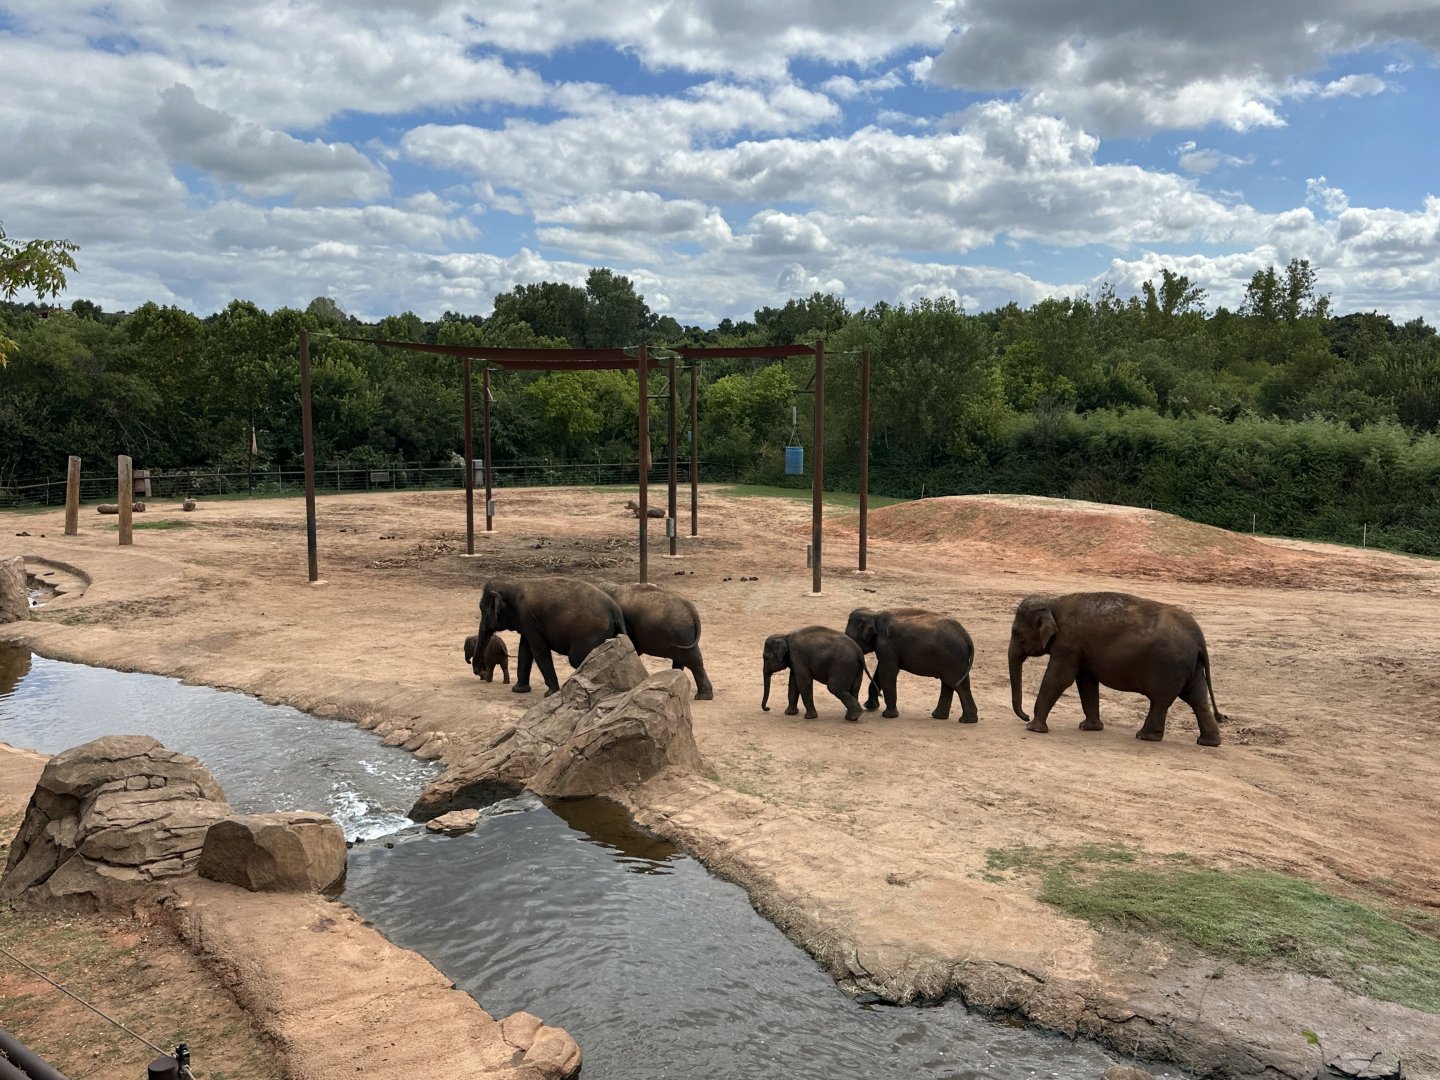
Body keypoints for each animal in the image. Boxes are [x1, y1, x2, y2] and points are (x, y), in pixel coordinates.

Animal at [475, 576, 627, 696]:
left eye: (484, 611)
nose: (479, 673)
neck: (515, 582)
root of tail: (615, 610)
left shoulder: (529, 618)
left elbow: (539, 651)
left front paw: (550, 693)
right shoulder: (527, 623)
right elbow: (525, 649)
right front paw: (519, 690)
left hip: (590, 632)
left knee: (577, 659)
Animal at [845, 607, 979, 722]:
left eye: (850, 637)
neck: (874, 614)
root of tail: (965, 635)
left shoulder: (887, 645)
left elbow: (887, 672)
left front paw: (888, 716)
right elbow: (880, 672)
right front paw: (870, 707)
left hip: (954, 658)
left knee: (957, 685)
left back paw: (965, 720)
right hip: (953, 659)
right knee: (950, 684)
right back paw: (943, 717)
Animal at [1008, 591, 1223, 746]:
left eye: (1016, 632)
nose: (1025, 715)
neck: (1052, 602)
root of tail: (1199, 636)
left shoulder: (1068, 643)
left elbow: (1059, 679)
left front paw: (1033, 728)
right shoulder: (1081, 649)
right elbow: (1086, 682)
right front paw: (1089, 728)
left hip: (1170, 668)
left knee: (1161, 701)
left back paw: (1144, 737)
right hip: (1191, 667)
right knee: (1197, 698)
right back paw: (1208, 742)